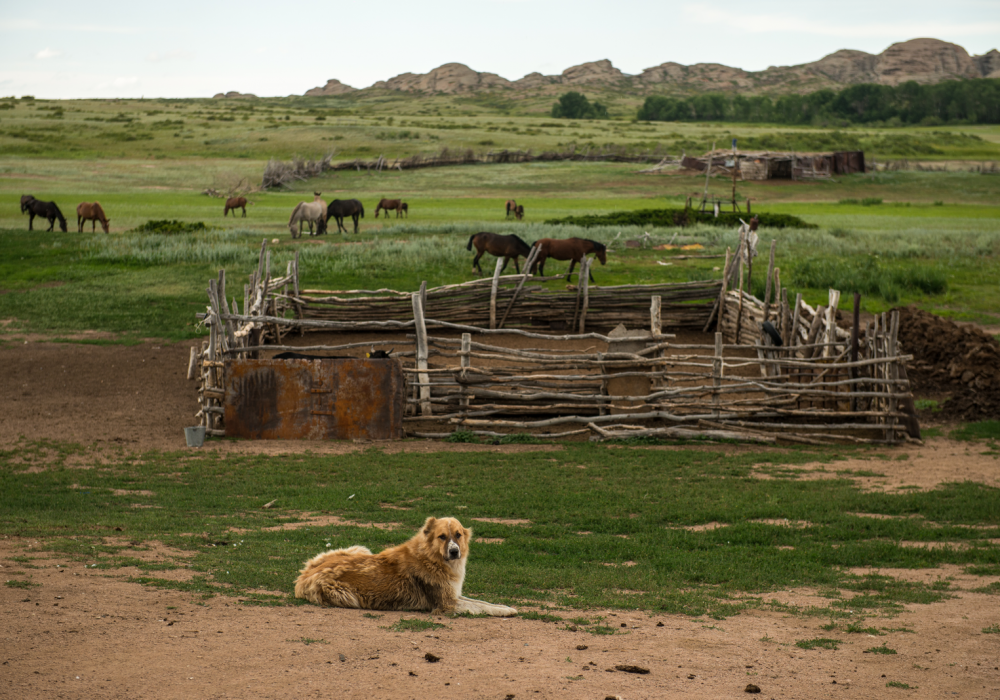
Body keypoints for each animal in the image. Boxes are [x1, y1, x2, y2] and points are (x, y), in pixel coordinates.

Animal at [292, 516, 516, 616]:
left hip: (361, 548)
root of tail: (303, 576)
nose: (454, 551)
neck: (432, 559)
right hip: (348, 596)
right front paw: (506, 612)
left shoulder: (454, 595)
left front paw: (505, 607)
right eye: (442, 537)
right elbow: (479, 606)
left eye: (458, 535)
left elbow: (482, 602)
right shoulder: (446, 604)